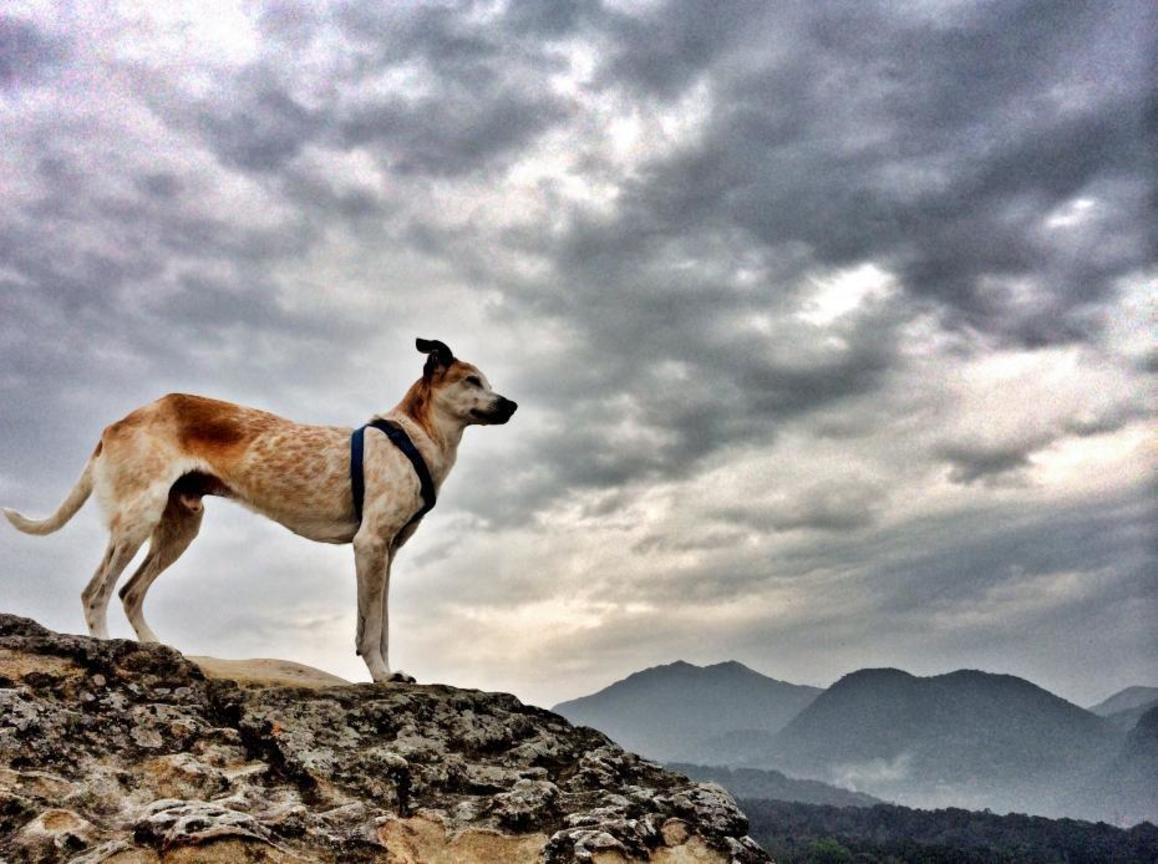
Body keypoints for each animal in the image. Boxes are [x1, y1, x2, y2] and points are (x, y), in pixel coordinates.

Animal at [0, 335, 516, 681]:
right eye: (471, 380)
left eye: (487, 380)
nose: (511, 404)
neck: (415, 437)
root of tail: (115, 424)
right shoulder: (370, 545)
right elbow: (371, 631)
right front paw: (383, 676)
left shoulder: (387, 552)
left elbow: (379, 624)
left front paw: (389, 673)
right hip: (137, 520)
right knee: (97, 592)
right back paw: (109, 652)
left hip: (180, 527)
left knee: (129, 592)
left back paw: (157, 651)